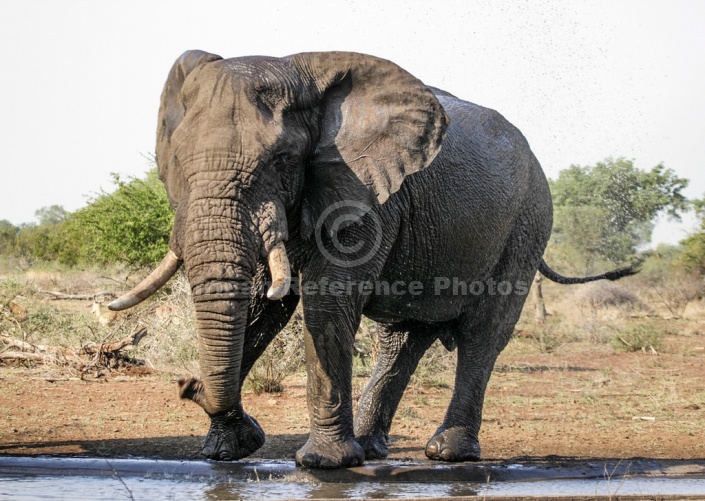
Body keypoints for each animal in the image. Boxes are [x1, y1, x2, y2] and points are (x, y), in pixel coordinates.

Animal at [107, 48, 636, 466]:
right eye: (177, 162)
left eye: (281, 160)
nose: (187, 387)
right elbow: (263, 305)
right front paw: (227, 450)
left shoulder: (366, 193)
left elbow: (324, 302)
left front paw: (323, 463)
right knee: (402, 338)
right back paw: (370, 447)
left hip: (527, 225)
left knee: (484, 333)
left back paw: (446, 452)